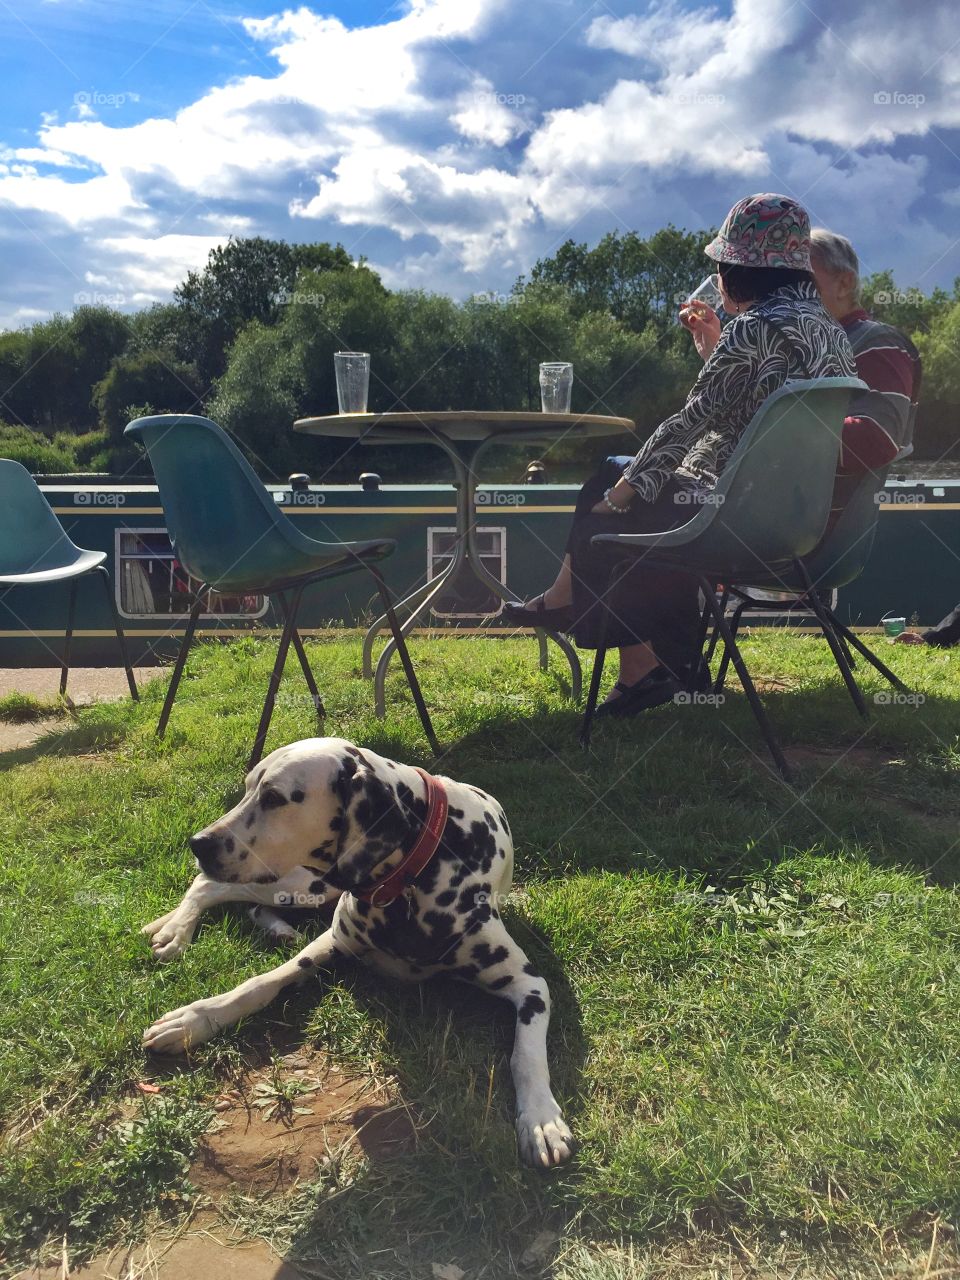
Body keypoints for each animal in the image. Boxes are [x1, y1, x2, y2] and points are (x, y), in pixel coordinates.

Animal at [142, 737, 576, 1167]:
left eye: (274, 797)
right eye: (248, 788)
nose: (198, 843)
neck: (413, 878)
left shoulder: (531, 985)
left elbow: (526, 1054)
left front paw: (540, 1117)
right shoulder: (332, 942)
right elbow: (259, 984)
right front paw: (194, 1019)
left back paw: (268, 929)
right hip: (302, 883)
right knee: (208, 885)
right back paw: (173, 933)